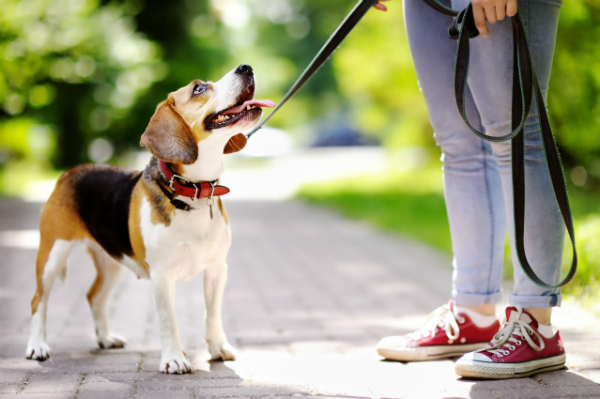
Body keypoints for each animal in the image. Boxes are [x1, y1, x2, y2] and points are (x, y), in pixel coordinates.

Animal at [25, 64, 274, 374]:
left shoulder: (217, 269)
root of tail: (70, 172)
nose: (246, 67)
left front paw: (218, 348)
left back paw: (105, 338)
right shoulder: (162, 276)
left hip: (111, 262)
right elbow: (170, 321)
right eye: (199, 89)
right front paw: (174, 359)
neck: (193, 192)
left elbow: (212, 314)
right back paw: (37, 346)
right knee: (38, 300)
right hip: (51, 255)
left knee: (94, 297)